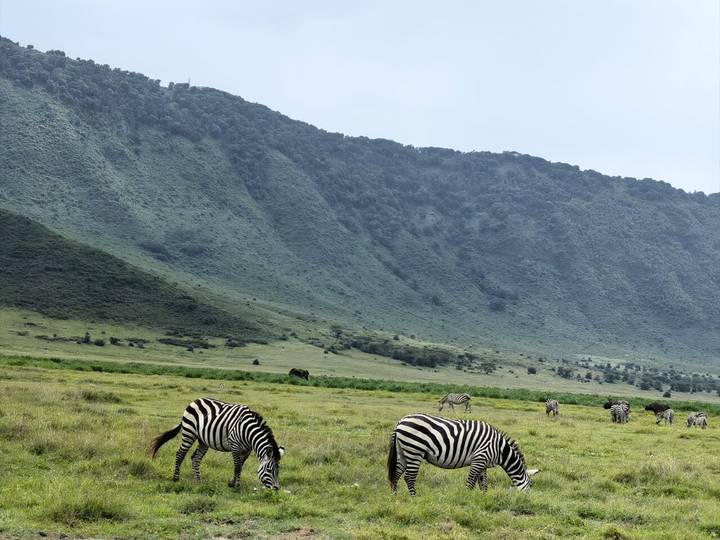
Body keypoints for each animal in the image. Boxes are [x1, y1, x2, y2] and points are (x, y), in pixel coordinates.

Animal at [149, 397, 285, 489]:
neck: (248, 431)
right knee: (180, 454)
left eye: (279, 470)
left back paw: (198, 481)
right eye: (269, 470)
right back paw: (176, 478)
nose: (276, 489)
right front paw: (235, 485)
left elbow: (241, 466)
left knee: (195, 458)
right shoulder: (235, 445)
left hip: (203, 440)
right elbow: (237, 466)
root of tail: (195, 400)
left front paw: (233, 483)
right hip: (189, 432)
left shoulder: (247, 450)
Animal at [387, 413, 539, 495]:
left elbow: (483, 484)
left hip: (403, 452)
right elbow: (470, 482)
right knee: (409, 477)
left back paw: (395, 496)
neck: (500, 449)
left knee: (396, 473)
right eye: (531, 485)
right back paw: (414, 498)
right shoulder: (479, 458)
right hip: (415, 450)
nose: (527, 499)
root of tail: (400, 422)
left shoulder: (483, 463)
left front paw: (484, 498)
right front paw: (466, 499)